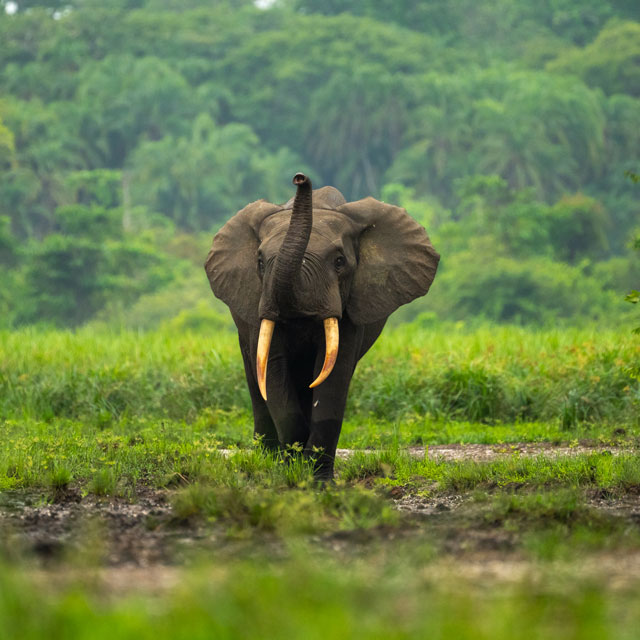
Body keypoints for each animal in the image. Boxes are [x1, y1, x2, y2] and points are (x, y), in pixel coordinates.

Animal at [205, 173, 439, 479]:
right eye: (260, 262)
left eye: (339, 262)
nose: (299, 178)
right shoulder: (258, 303)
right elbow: (274, 371)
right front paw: (292, 469)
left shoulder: (349, 308)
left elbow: (333, 378)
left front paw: (317, 479)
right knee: (257, 379)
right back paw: (267, 458)